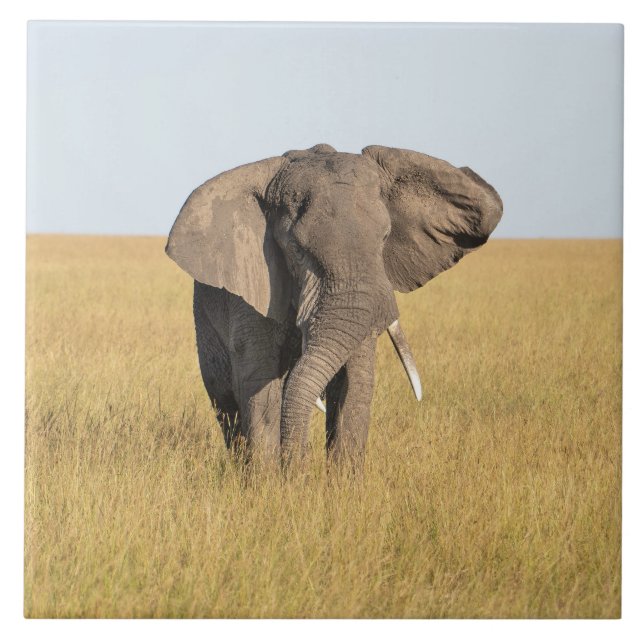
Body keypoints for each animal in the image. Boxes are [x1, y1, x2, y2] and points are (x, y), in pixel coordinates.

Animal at [166, 144, 502, 469]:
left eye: (384, 239)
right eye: (296, 250)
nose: (297, 469)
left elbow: (355, 381)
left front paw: (342, 483)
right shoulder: (253, 287)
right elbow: (260, 383)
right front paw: (271, 483)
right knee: (226, 399)